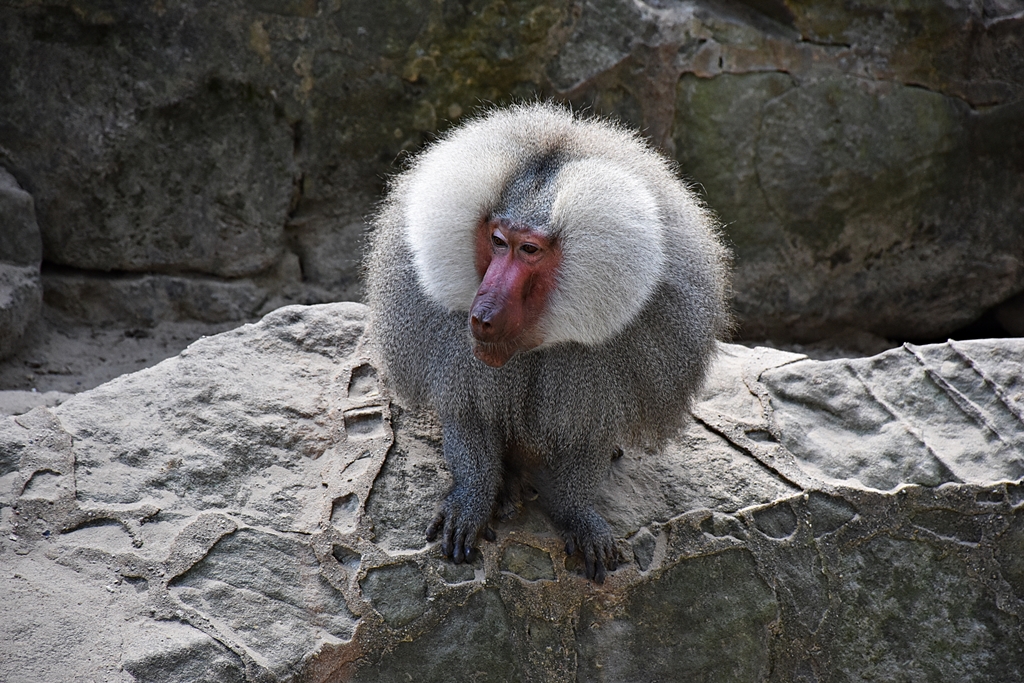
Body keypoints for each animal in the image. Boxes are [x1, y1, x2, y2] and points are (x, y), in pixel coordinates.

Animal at [364, 103, 730, 583]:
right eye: (498, 242)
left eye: (530, 250)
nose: (481, 318)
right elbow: (468, 411)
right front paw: (473, 498)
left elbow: (587, 436)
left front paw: (578, 515)